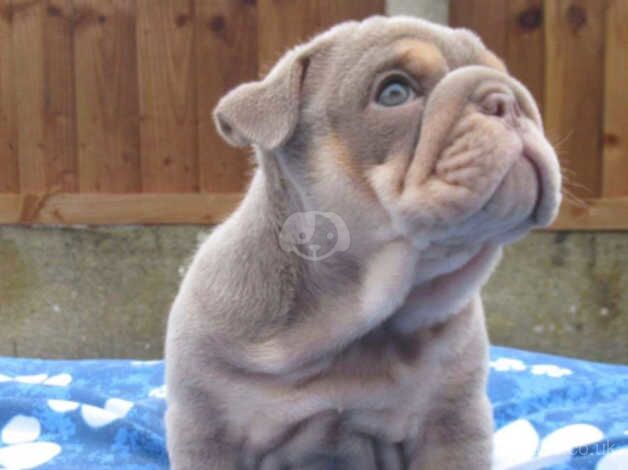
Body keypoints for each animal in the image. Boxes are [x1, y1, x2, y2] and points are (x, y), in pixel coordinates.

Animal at [164, 15, 560, 470]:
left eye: (506, 76)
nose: (505, 99)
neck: (356, 319)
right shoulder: (208, 430)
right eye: (394, 92)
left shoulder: (452, 421)